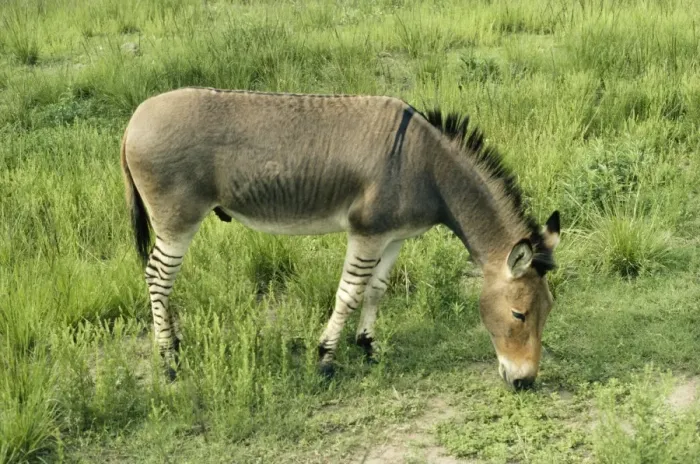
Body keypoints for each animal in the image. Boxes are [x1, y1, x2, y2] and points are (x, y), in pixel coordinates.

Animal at [120, 87, 561, 390]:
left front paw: (367, 346)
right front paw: (326, 358)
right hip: (177, 221)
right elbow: (348, 293)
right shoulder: (366, 233)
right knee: (158, 277)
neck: (427, 169)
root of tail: (135, 118)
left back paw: (175, 344)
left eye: (547, 311)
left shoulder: (394, 236)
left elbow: (377, 289)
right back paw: (169, 359)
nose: (525, 383)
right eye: (519, 315)